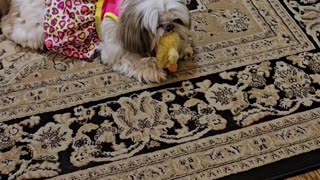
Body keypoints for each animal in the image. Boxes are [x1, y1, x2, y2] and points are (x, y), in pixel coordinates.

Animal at [0, 0, 192, 83]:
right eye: (158, 24)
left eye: (177, 21)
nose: (169, 27)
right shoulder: (115, 48)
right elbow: (134, 60)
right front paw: (151, 70)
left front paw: (182, 47)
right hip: (35, 31)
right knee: (8, 27)